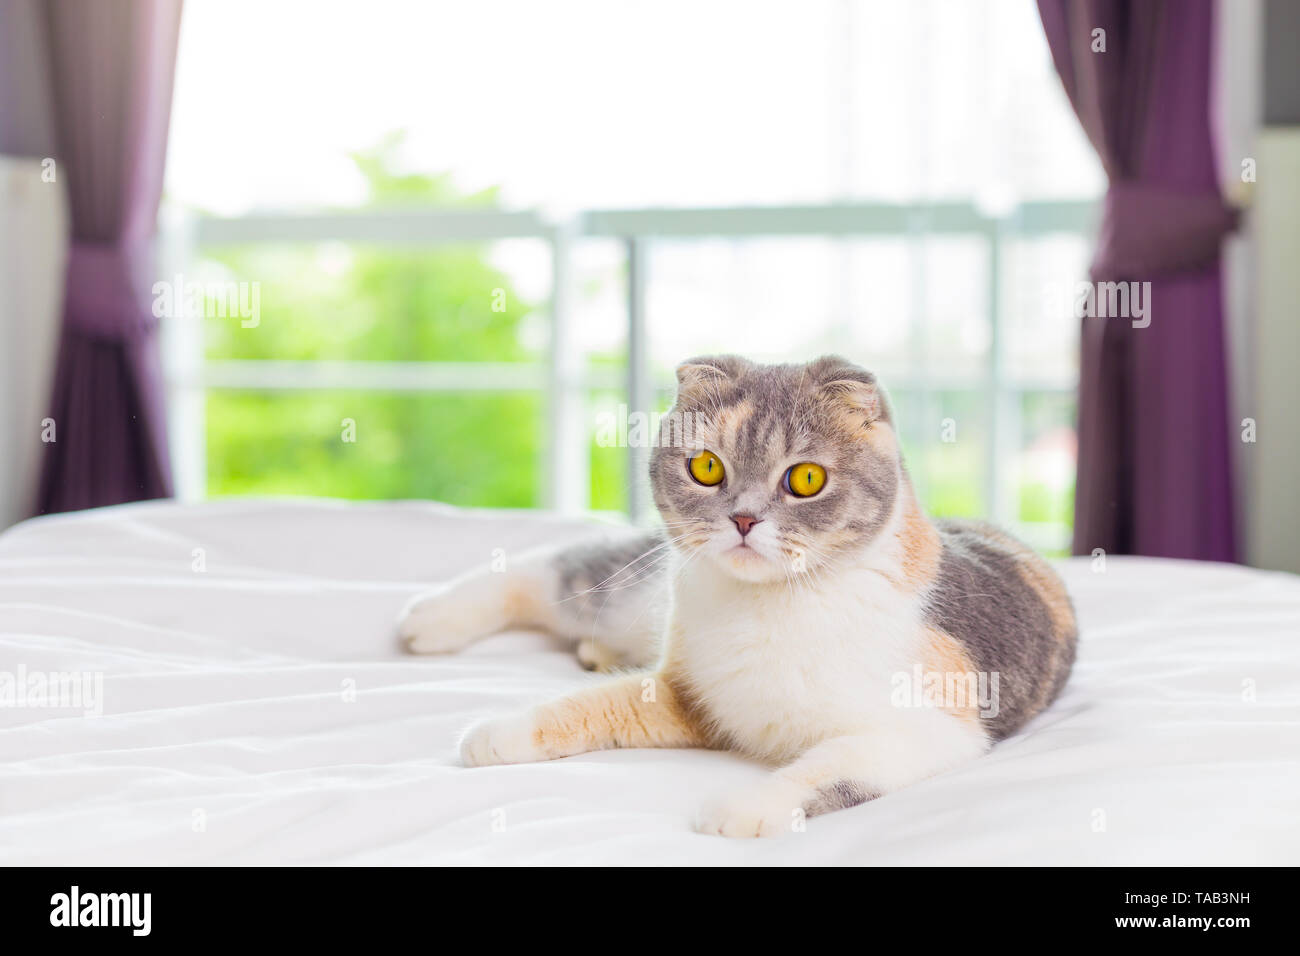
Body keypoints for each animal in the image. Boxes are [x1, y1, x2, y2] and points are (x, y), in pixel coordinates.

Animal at [397, 353, 1076, 837]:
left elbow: (832, 765)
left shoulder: (929, 729)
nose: (744, 519)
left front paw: (746, 806)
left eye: (807, 478)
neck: (773, 605)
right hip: (636, 587)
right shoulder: (689, 690)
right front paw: (501, 729)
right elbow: (590, 705)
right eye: (705, 467)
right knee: (550, 570)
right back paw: (430, 620)